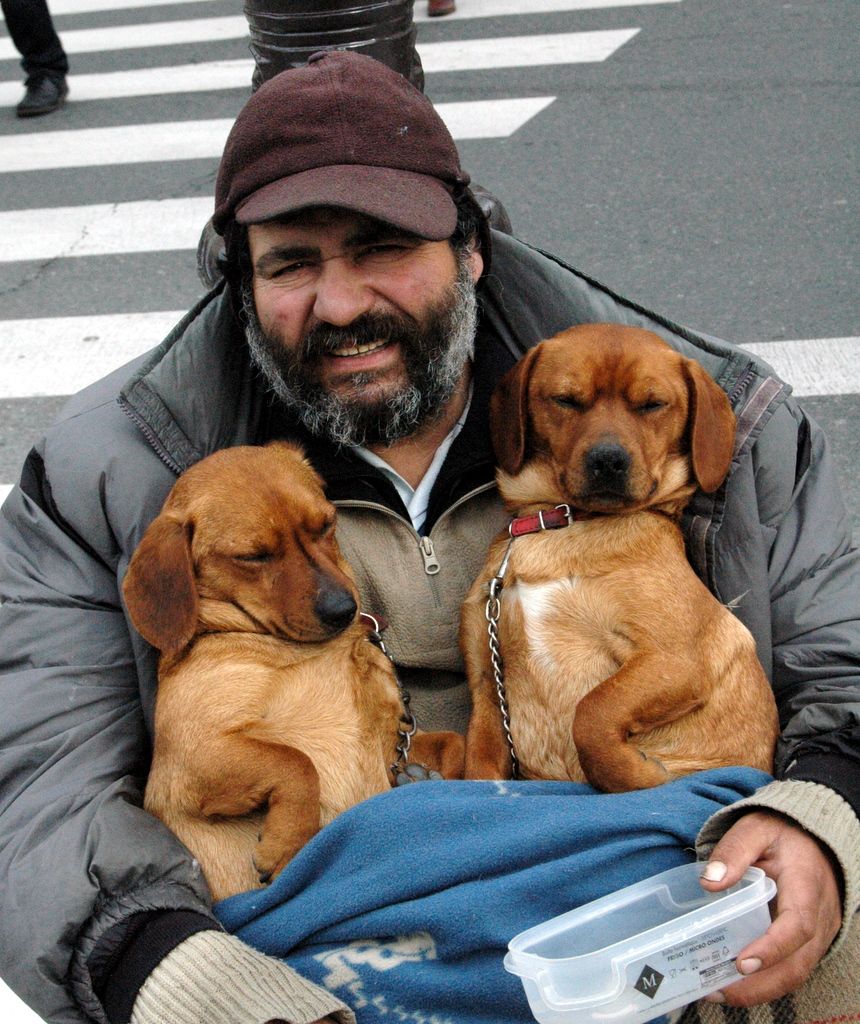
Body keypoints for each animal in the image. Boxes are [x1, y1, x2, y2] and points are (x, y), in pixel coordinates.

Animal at [122, 440, 462, 897]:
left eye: (326, 524)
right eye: (252, 557)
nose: (343, 610)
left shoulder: (400, 737)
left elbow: (456, 742)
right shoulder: (192, 757)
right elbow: (295, 761)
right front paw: (288, 844)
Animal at [462, 323, 778, 786]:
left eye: (652, 404)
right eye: (566, 399)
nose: (609, 460)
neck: (566, 526)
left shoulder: (675, 659)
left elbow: (593, 711)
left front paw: (634, 775)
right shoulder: (487, 687)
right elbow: (480, 771)